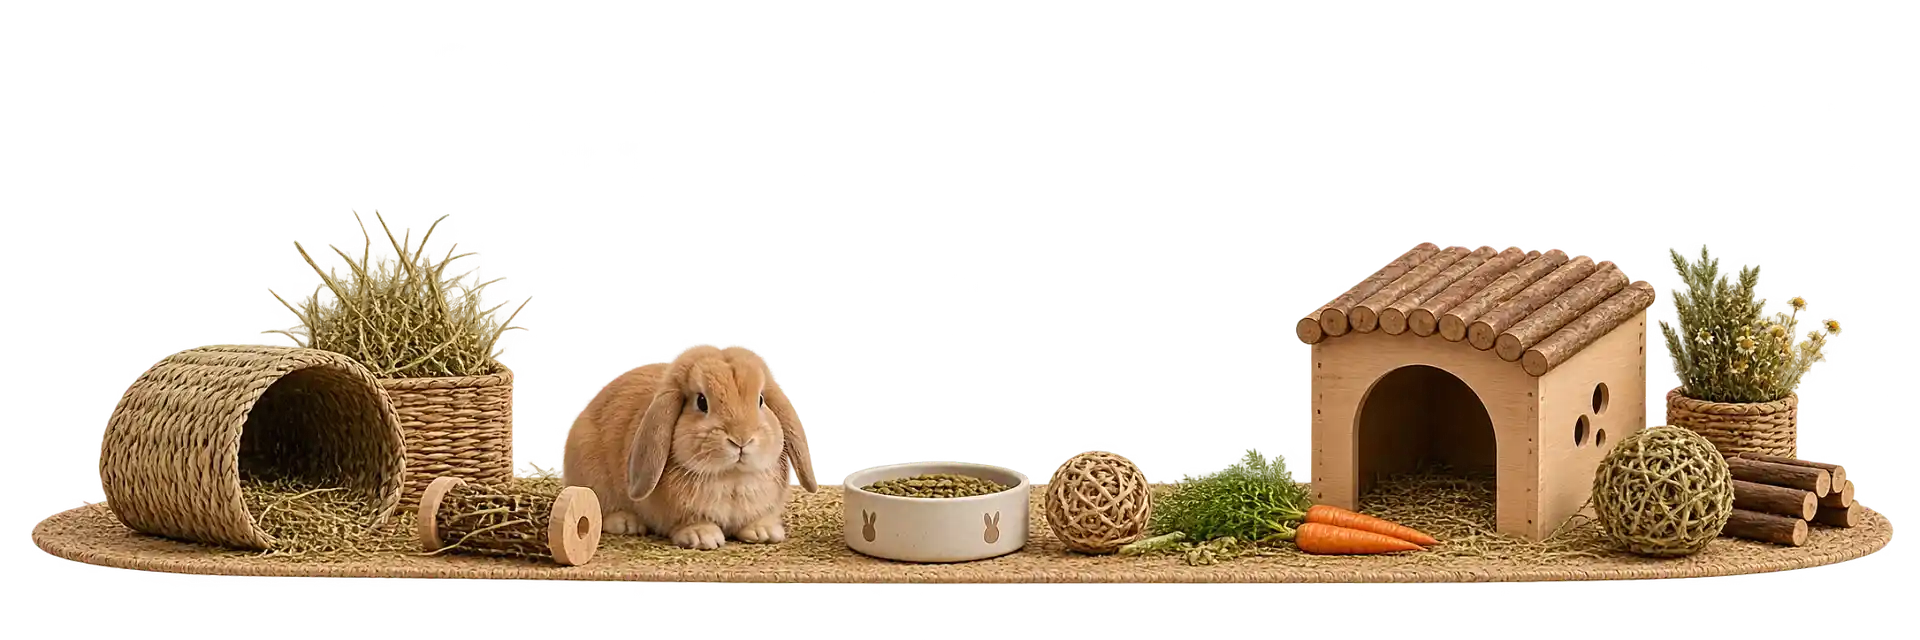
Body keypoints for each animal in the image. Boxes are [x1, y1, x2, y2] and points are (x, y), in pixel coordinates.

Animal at [560, 342, 818, 550]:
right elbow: (688, 523)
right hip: (592, 479)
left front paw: (764, 532)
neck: (732, 476)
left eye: (761, 401)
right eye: (701, 402)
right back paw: (626, 523)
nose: (741, 439)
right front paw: (702, 536)